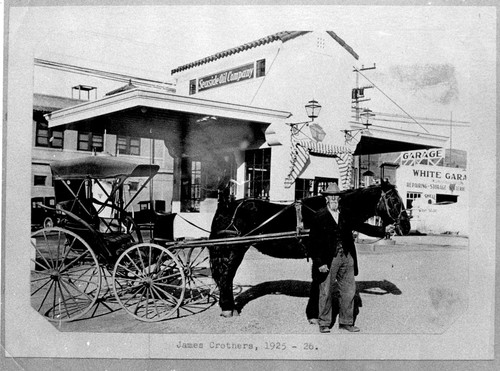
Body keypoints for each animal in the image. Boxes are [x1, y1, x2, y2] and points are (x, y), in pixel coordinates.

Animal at [208, 179, 410, 318]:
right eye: (394, 200)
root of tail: (227, 205)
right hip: (234, 249)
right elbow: (318, 280)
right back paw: (228, 308)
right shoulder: (319, 254)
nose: (406, 226)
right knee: (227, 276)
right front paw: (314, 314)